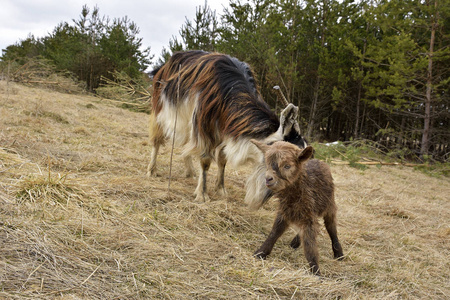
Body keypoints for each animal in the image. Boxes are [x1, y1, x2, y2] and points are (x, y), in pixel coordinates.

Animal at [148, 50, 306, 207]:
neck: (229, 92)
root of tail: (163, 67)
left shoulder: (227, 129)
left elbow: (223, 159)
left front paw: (220, 189)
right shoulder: (204, 125)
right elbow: (205, 160)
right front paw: (202, 194)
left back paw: (190, 172)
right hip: (161, 108)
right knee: (157, 139)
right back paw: (152, 171)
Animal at [251, 141, 342, 276]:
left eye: (287, 166)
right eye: (267, 163)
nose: (268, 179)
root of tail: (319, 161)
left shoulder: (309, 216)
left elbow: (310, 246)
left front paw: (316, 272)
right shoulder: (284, 212)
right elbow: (274, 233)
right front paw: (260, 253)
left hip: (329, 204)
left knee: (331, 227)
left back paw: (339, 253)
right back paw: (295, 242)